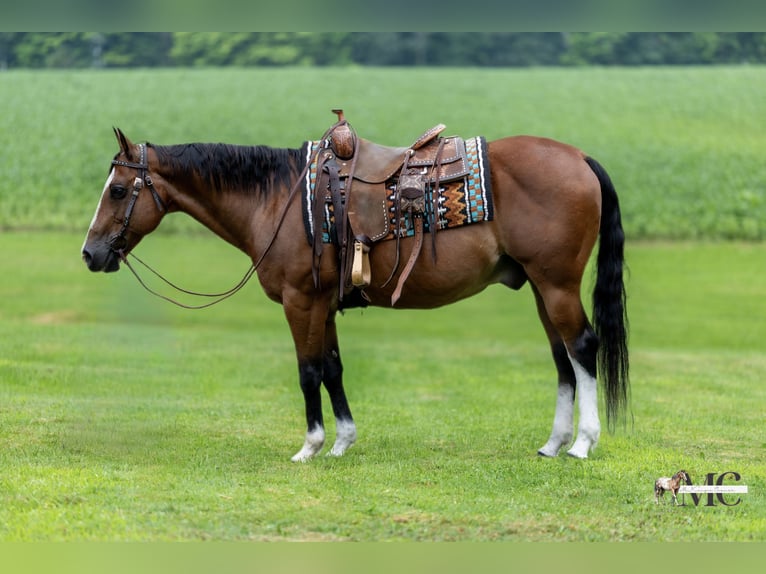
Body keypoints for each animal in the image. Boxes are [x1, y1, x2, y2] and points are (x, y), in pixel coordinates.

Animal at [81, 122, 629, 462]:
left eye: (117, 190)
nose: (90, 253)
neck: (277, 199)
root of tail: (579, 157)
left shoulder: (301, 301)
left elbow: (307, 372)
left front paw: (310, 446)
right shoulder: (323, 305)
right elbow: (332, 368)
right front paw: (343, 442)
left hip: (556, 285)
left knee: (582, 347)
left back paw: (582, 444)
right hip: (540, 287)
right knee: (562, 358)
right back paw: (554, 443)